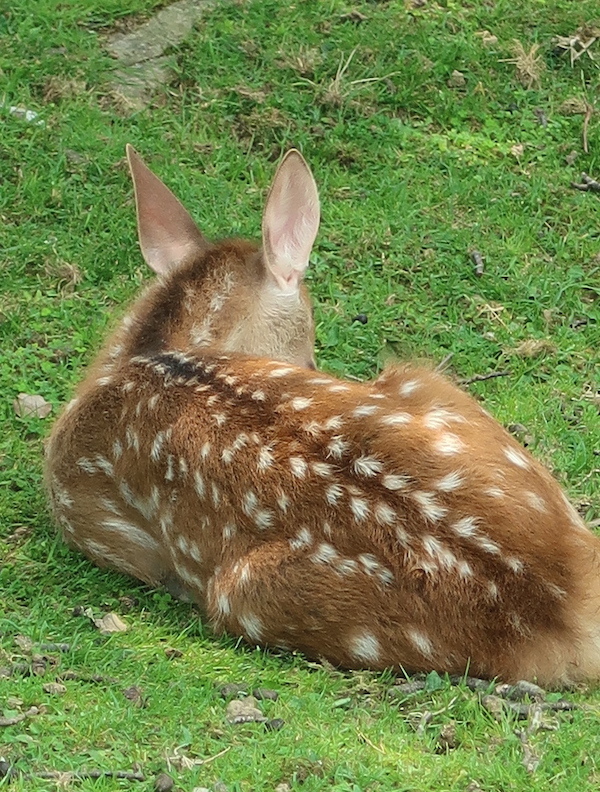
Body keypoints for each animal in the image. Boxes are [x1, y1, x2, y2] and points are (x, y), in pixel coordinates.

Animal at [45, 147, 600, 688]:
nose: (313, 365)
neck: (141, 356)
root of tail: (562, 613)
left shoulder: (93, 522)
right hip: (425, 384)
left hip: (240, 593)